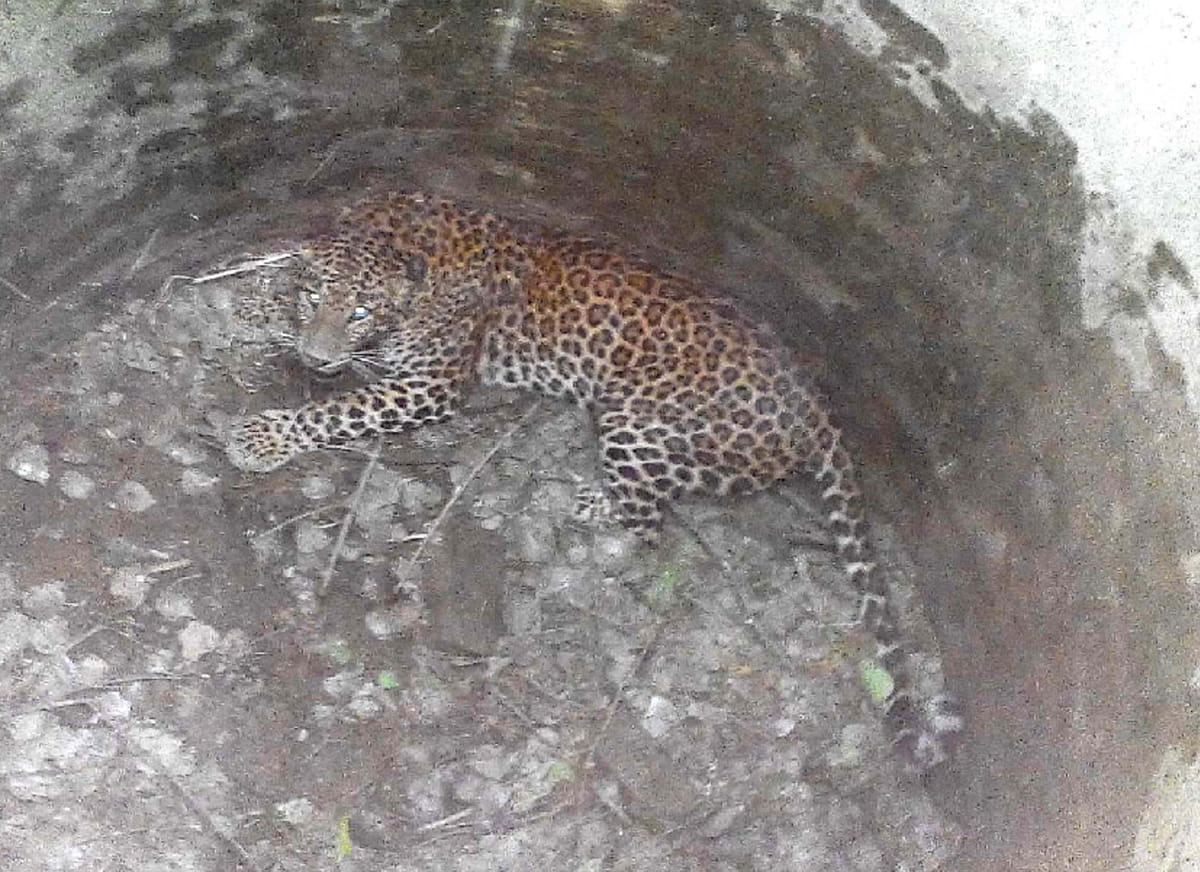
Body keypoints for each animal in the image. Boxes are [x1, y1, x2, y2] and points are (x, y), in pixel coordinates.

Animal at [224, 192, 962, 770]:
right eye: (317, 297)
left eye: (359, 312)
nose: (316, 356)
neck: (407, 233)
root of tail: (815, 406)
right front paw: (259, 305)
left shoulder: (428, 385)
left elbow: (340, 409)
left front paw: (264, 438)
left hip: (635, 418)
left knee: (650, 524)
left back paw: (584, 502)